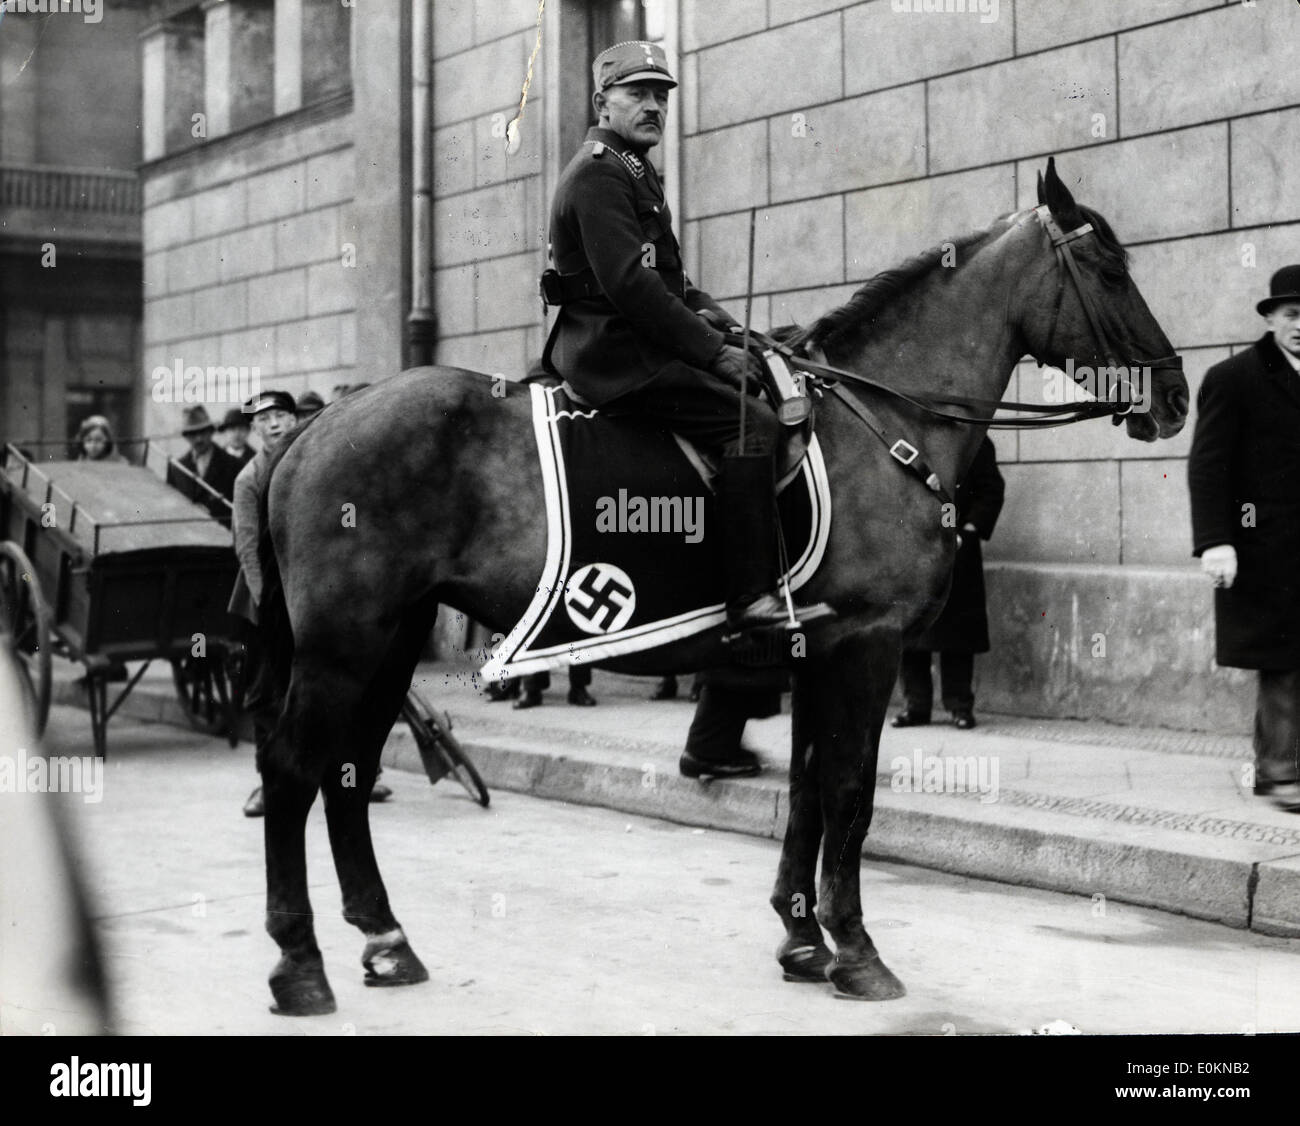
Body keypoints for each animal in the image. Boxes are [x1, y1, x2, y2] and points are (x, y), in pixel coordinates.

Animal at [253, 159, 1188, 1014]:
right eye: (1110, 270)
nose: (1176, 394)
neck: (882, 421)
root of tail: (314, 424)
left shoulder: (818, 650)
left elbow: (809, 790)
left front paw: (803, 937)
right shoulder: (867, 645)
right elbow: (850, 793)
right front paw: (856, 952)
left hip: (394, 636)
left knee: (348, 770)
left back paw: (385, 941)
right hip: (345, 644)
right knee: (295, 767)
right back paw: (299, 964)